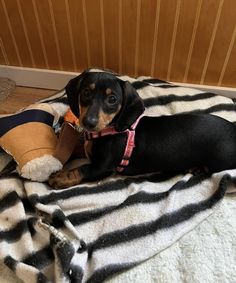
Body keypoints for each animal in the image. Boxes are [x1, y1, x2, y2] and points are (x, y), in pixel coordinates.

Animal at [48, 70, 236, 191]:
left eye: (112, 99)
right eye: (86, 92)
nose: (89, 122)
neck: (110, 129)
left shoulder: (103, 167)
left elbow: (82, 169)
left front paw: (61, 177)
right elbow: (77, 149)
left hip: (220, 159)